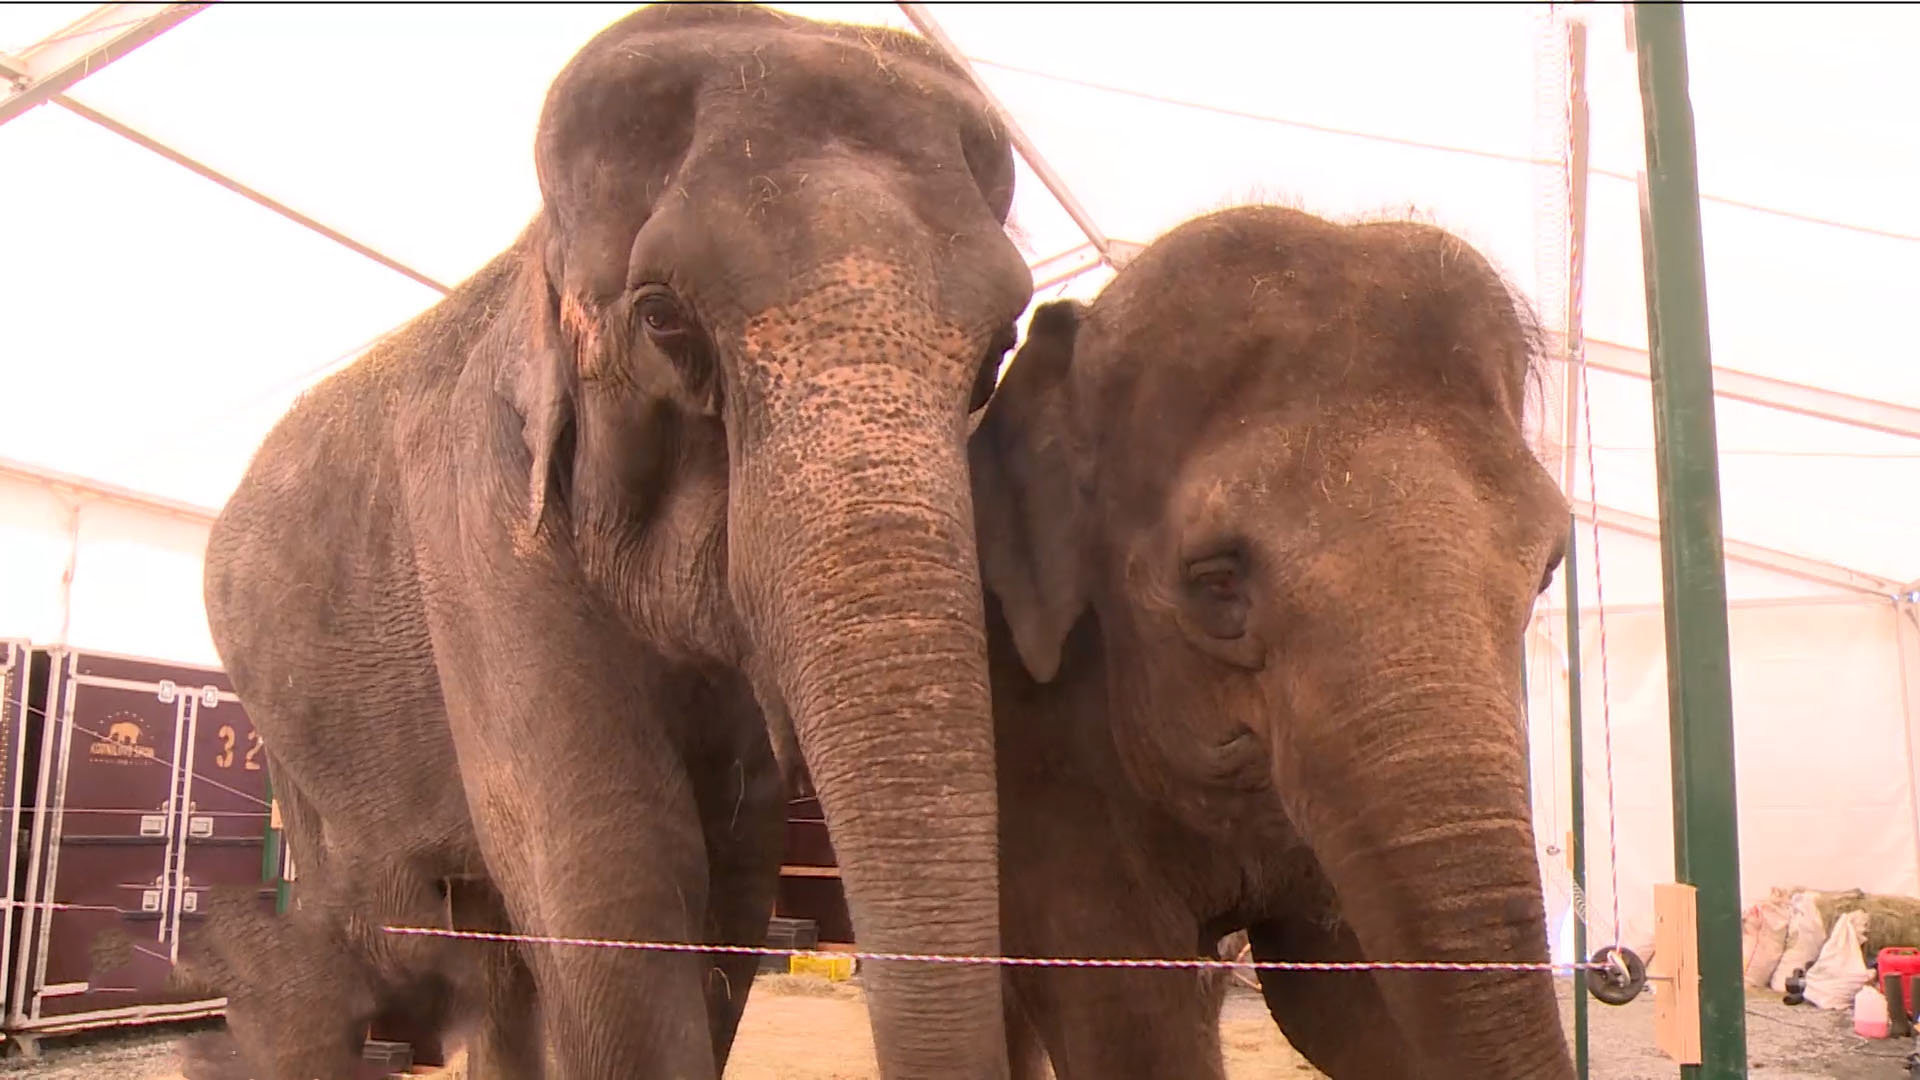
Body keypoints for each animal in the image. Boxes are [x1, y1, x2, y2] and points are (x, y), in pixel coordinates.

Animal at [183, 4, 1036, 1068]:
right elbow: (613, 867)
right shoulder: (479, 521)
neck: (532, 255)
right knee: (347, 943)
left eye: (1000, 349)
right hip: (291, 745)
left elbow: (731, 862)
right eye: (664, 318)